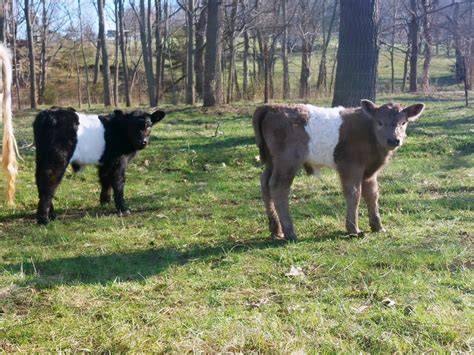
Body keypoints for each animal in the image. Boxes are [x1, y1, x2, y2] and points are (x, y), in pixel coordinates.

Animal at [33, 108, 167, 225]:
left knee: (40, 180)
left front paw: (105, 202)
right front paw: (123, 208)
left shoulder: (106, 162)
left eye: (149, 125)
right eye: (131, 126)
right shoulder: (119, 161)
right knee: (49, 182)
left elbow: (105, 180)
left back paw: (52, 214)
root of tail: (47, 114)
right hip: (57, 158)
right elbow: (118, 183)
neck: (120, 130)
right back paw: (44, 219)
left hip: (41, 157)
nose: (142, 142)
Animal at [254, 100, 428, 242]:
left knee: (265, 185)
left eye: (403, 122)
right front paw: (353, 229)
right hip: (287, 162)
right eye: (379, 122)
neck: (369, 132)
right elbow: (354, 194)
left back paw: (276, 229)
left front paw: (377, 226)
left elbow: (372, 194)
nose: (393, 140)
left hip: (271, 161)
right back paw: (290, 232)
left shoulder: (369, 171)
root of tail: (271, 106)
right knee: (278, 187)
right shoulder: (350, 166)